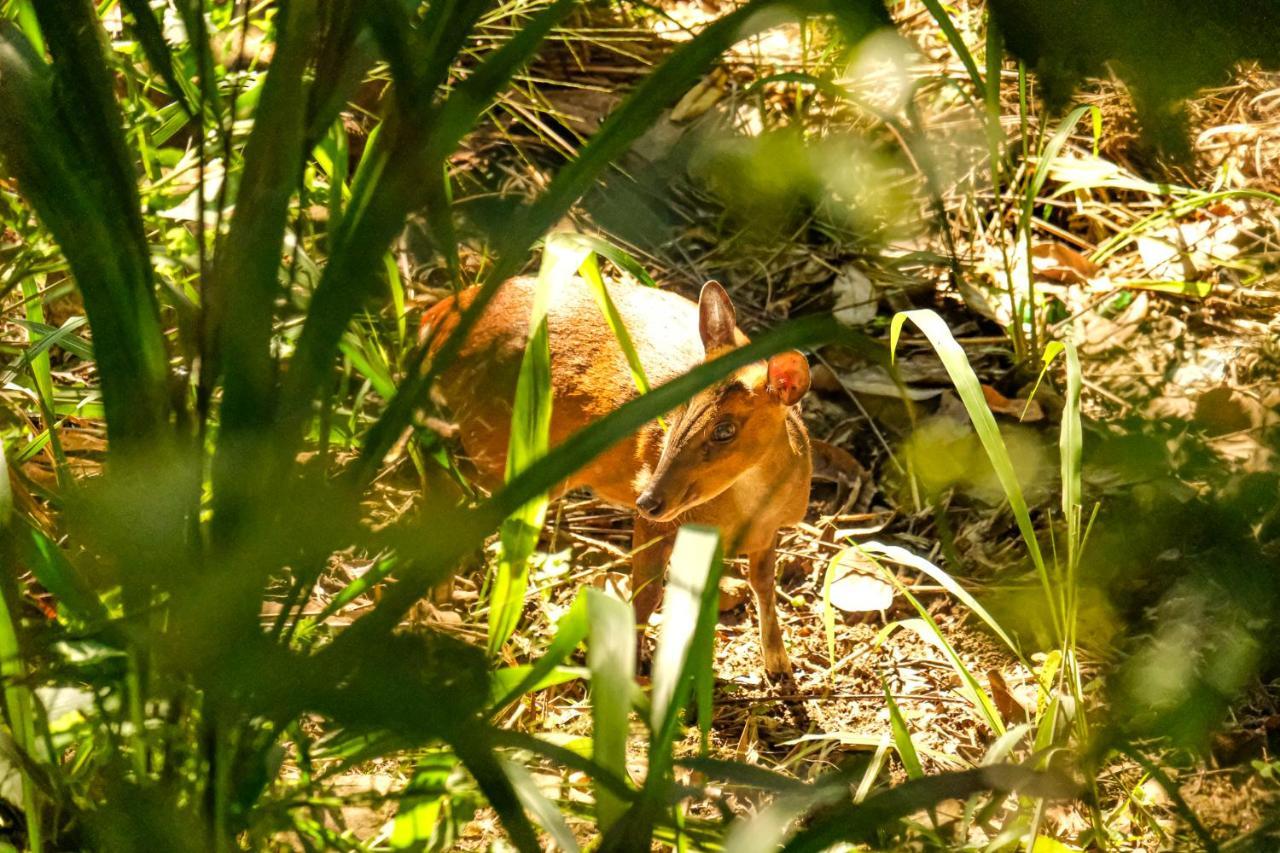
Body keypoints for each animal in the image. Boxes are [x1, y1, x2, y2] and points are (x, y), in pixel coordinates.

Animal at [424, 275, 814, 676]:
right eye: (680, 405)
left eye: (725, 429)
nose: (648, 498)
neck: (743, 516)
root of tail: (439, 315)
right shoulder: (658, 523)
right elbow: (647, 594)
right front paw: (632, 668)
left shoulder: (771, 529)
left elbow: (763, 583)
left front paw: (779, 662)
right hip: (503, 445)